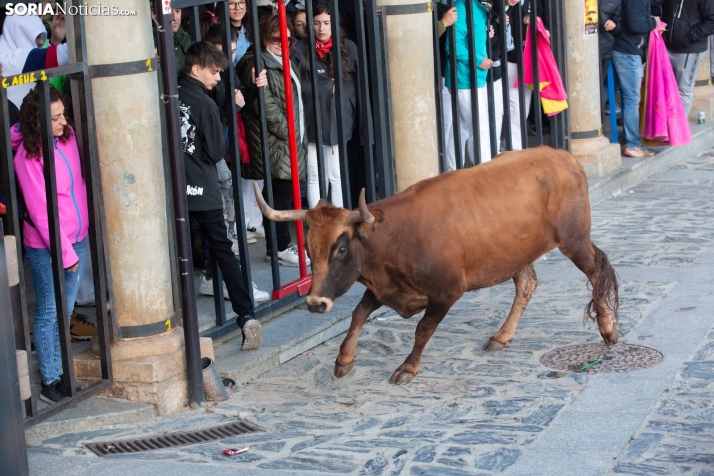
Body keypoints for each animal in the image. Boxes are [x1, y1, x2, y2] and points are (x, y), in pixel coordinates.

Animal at [253, 147, 616, 384]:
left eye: (341, 248)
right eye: (308, 248)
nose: (315, 303)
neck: (394, 239)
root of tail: (563, 156)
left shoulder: (447, 292)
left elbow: (422, 329)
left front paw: (408, 368)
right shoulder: (385, 289)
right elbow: (357, 316)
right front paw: (344, 360)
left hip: (574, 240)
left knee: (596, 271)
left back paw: (608, 329)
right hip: (516, 253)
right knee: (526, 283)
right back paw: (502, 336)